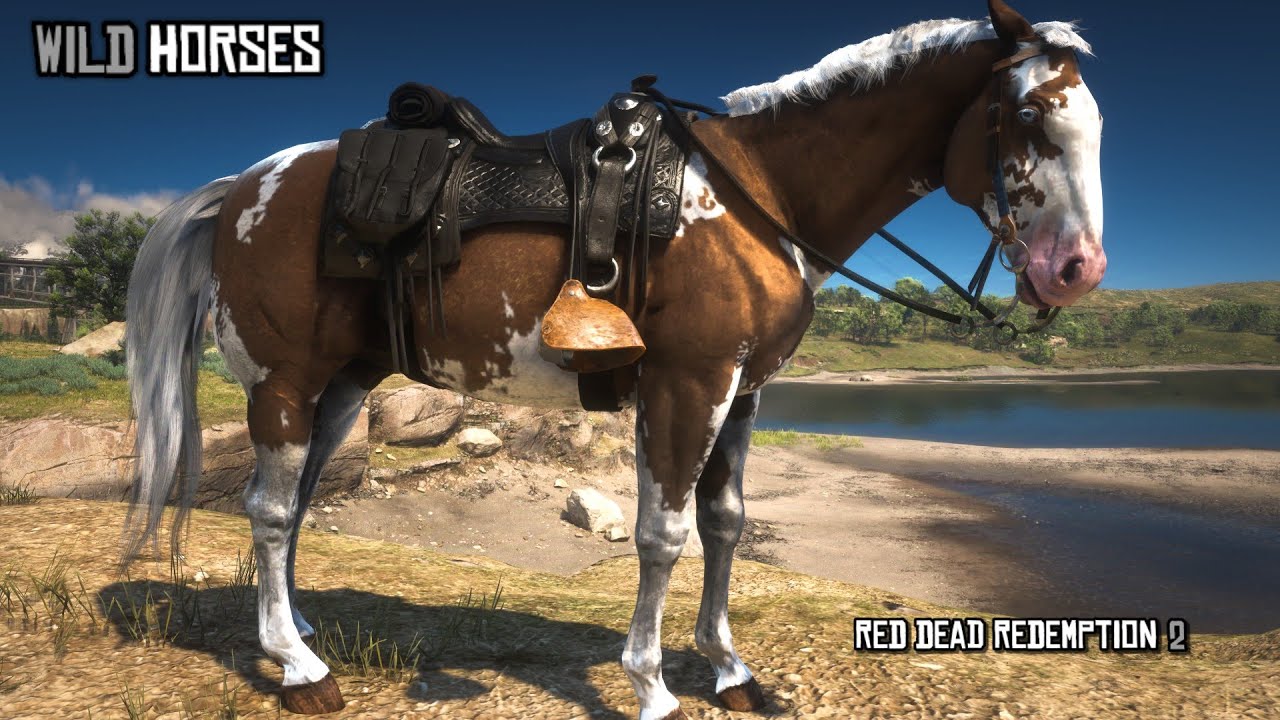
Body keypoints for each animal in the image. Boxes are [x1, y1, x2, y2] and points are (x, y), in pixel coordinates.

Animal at [122, 1, 1104, 717]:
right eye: (1026, 113)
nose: (1076, 270)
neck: (755, 196)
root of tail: (244, 186)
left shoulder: (744, 393)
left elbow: (727, 523)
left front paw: (731, 670)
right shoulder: (687, 384)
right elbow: (663, 534)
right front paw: (652, 685)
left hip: (343, 386)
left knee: (290, 507)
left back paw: (298, 631)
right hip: (282, 384)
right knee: (269, 510)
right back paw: (297, 668)